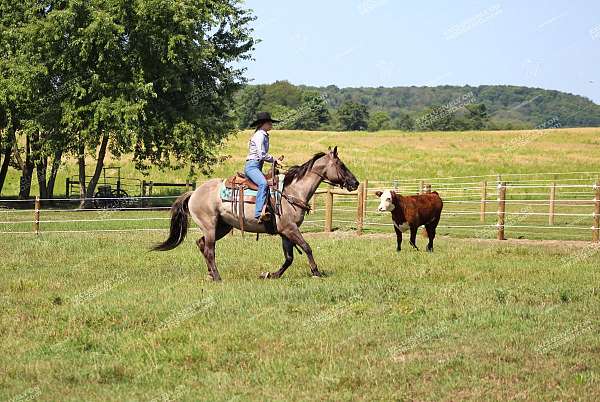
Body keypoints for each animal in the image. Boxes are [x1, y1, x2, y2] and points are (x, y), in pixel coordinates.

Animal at [152, 146, 358, 282]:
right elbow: (307, 247)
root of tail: (194, 192)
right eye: (341, 165)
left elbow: (289, 258)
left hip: (222, 227)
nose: (355, 183)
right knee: (209, 250)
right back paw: (217, 276)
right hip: (210, 226)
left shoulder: (285, 232)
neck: (293, 191)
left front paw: (270, 274)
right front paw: (316, 272)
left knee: (201, 244)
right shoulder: (290, 228)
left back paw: (210, 274)